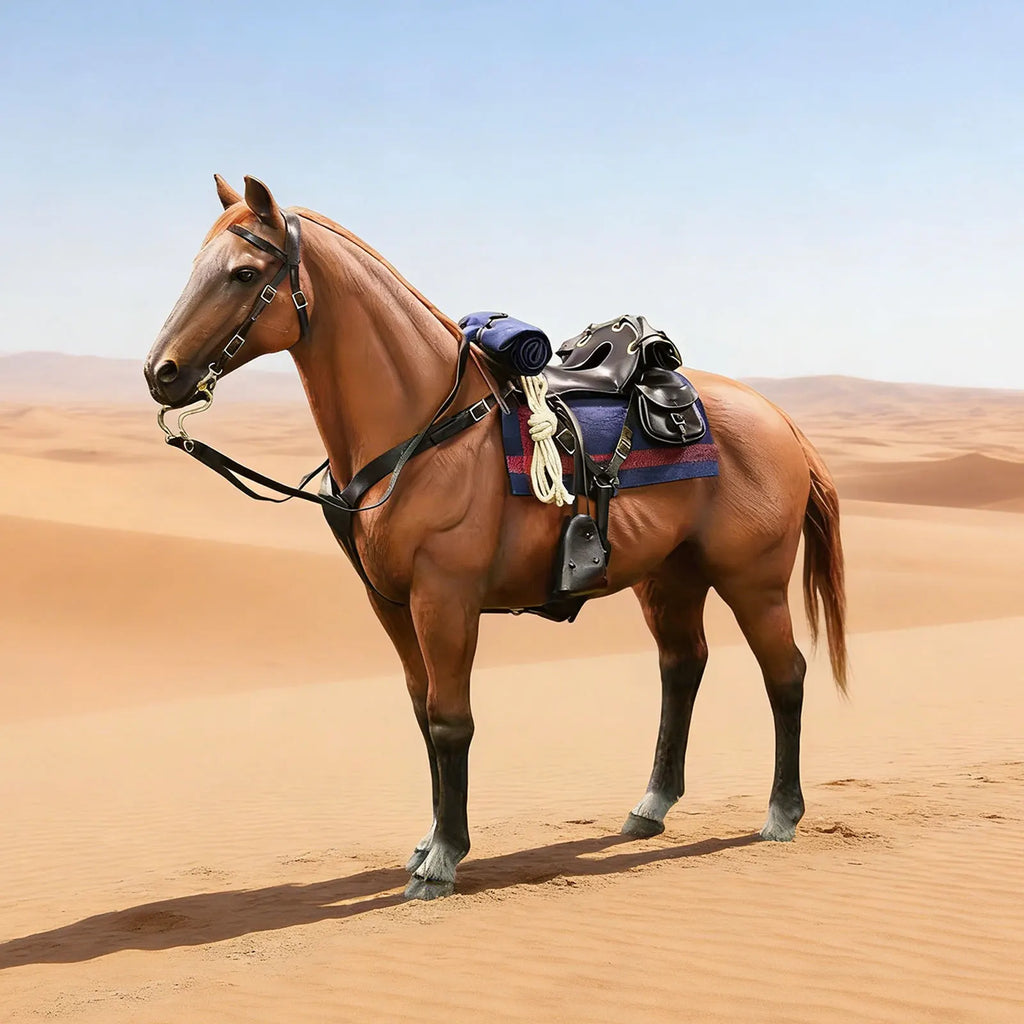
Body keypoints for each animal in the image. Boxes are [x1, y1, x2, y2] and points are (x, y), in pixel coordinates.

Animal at [144, 175, 848, 901]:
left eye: (244, 273)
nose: (160, 372)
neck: (427, 424)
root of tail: (778, 418)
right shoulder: (391, 603)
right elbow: (423, 713)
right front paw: (428, 841)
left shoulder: (445, 598)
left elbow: (452, 720)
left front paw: (444, 859)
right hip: (669, 578)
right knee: (683, 667)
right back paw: (650, 807)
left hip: (753, 579)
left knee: (785, 674)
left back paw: (781, 812)